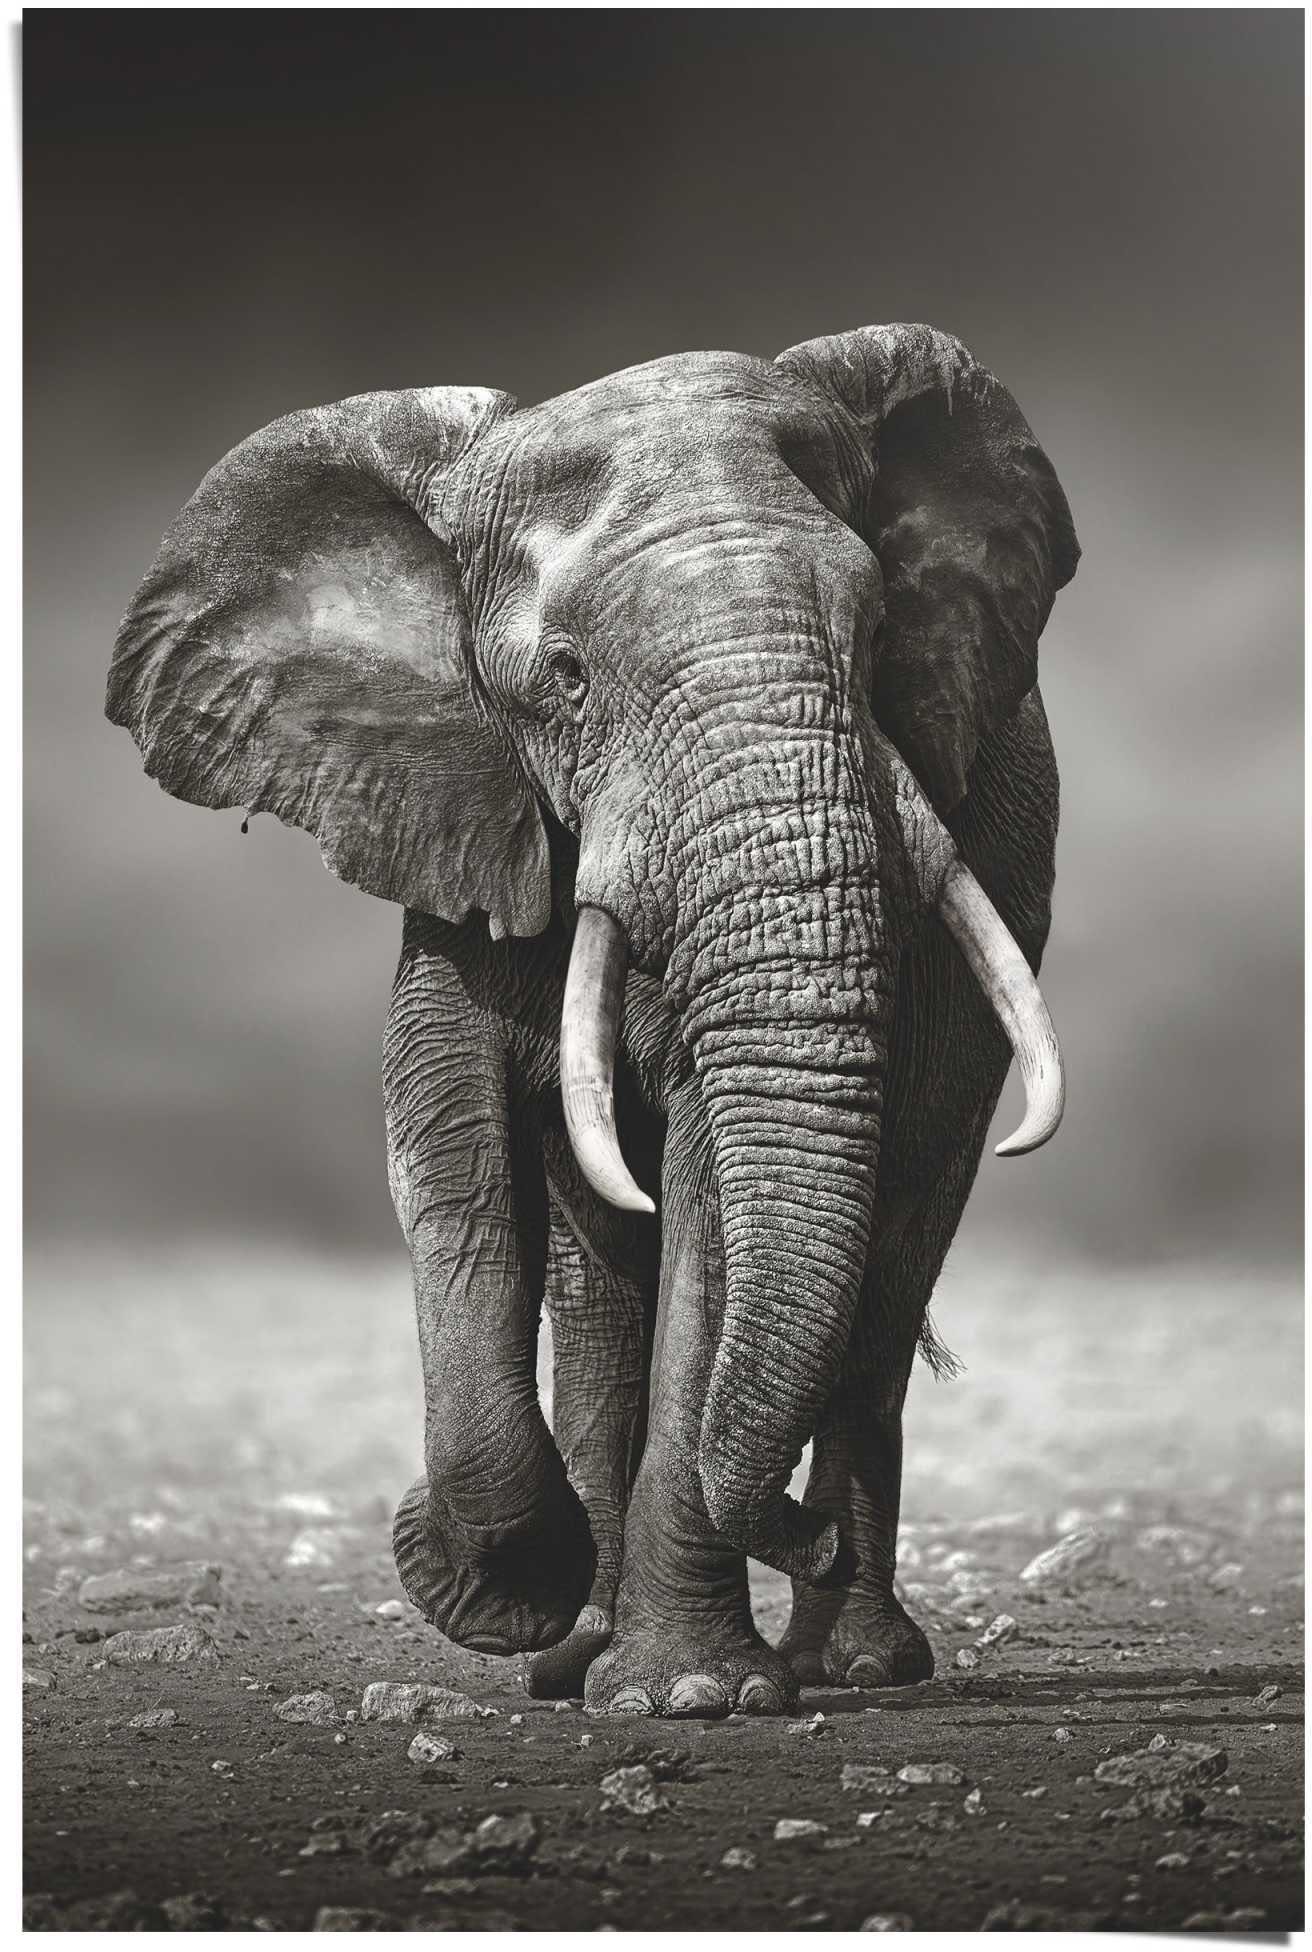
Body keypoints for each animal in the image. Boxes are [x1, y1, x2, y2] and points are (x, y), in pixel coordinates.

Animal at [106, 324, 1077, 1718]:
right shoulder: (458, 809)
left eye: (882, 631)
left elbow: (713, 1197)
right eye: (563, 679)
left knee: (891, 1257)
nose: (798, 1533)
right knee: (605, 1283)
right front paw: (504, 1591)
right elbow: (448, 1154)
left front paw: (694, 1694)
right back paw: (581, 1650)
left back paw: (850, 1661)